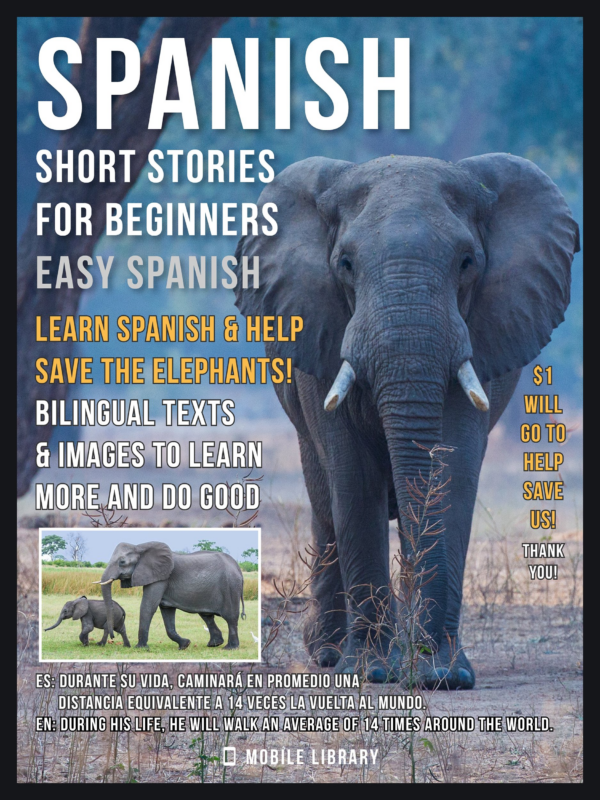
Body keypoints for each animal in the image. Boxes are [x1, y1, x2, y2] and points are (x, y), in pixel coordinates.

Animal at [96, 542, 246, 650]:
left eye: (122, 562)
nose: (113, 637)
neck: (140, 547)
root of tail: (238, 567)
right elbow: (166, 612)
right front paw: (185, 645)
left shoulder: (161, 578)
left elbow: (148, 606)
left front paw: (140, 648)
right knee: (207, 616)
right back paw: (214, 644)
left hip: (230, 587)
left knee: (230, 617)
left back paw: (230, 648)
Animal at [233, 153, 579, 687]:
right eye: (345, 264)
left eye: (467, 262)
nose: (422, 666)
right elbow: (353, 479)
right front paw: (372, 671)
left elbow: (451, 470)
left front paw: (442, 675)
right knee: (324, 498)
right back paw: (330, 653)